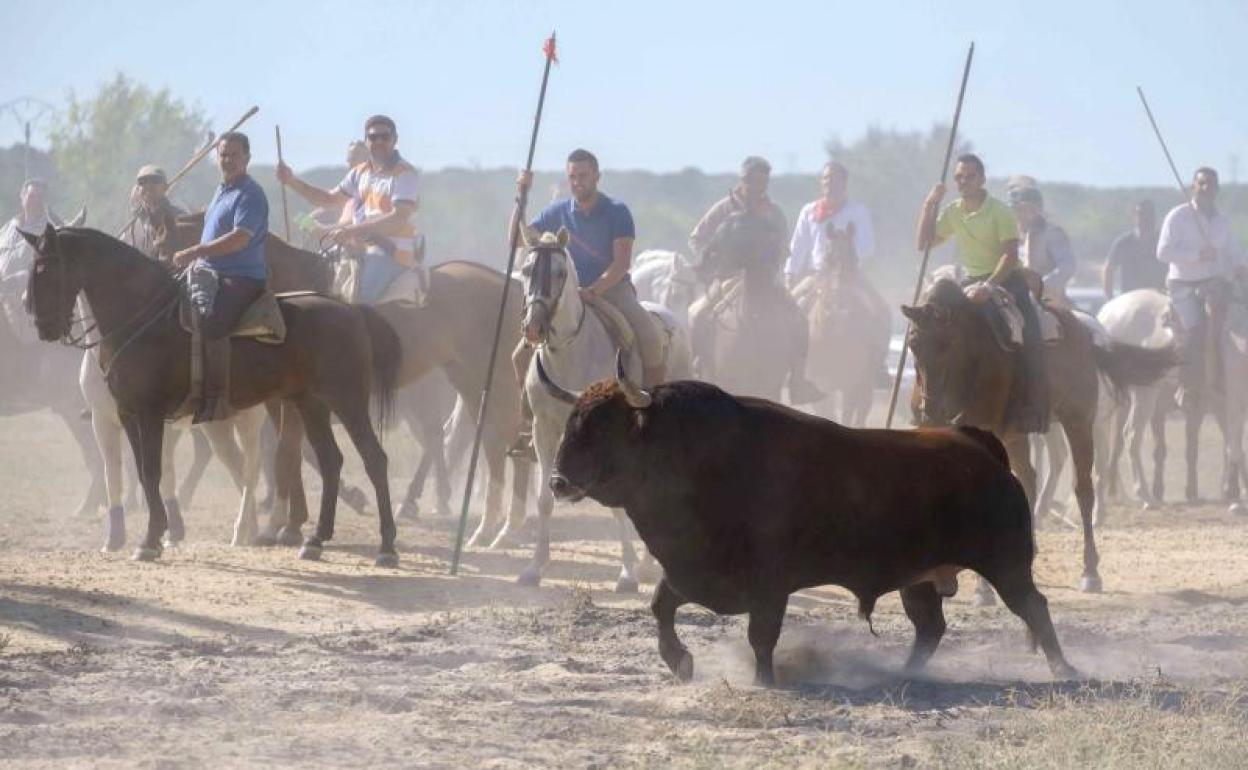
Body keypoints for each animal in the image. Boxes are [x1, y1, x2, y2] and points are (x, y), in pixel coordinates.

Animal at [20, 222, 399, 564]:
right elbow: (142, 472)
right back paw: (315, 540)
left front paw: (150, 540)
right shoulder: (126, 414)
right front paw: (156, 535)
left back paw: (386, 547)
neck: (144, 318)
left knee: (372, 459)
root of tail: (351, 309)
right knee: (330, 460)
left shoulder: (150, 414)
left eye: (43, 268)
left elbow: (153, 472)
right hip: (311, 404)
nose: (43, 327)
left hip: (345, 402)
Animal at [516, 224, 693, 591]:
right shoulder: (544, 430)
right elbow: (544, 500)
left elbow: (618, 503)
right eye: (526, 270)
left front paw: (626, 574)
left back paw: (648, 565)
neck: (570, 354)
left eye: (560, 272)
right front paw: (534, 568)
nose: (534, 327)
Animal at [541, 356, 1078, 683]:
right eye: (572, 422)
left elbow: (761, 637)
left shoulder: (769, 587)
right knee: (931, 629)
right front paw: (681, 662)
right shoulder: (692, 574)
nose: (558, 481)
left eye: (603, 426)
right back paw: (906, 673)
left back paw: (1065, 670)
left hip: (1006, 567)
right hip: (920, 580)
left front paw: (763, 681)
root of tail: (976, 444)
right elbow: (660, 605)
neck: (696, 455)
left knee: (1034, 607)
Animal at [793, 222, 893, 426]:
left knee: (860, 415)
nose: (838, 312)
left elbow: (846, 416)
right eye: (827, 257)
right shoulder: (820, 385)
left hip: (865, 386)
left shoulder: (851, 384)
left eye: (854, 258)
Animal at [898, 275, 1178, 594]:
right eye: (913, 343)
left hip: (1078, 420)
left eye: (948, 343)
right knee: (1029, 479)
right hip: (1016, 435)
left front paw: (982, 590)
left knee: (1083, 489)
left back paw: (1090, 572)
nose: (930, 408)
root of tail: (1083, 331)